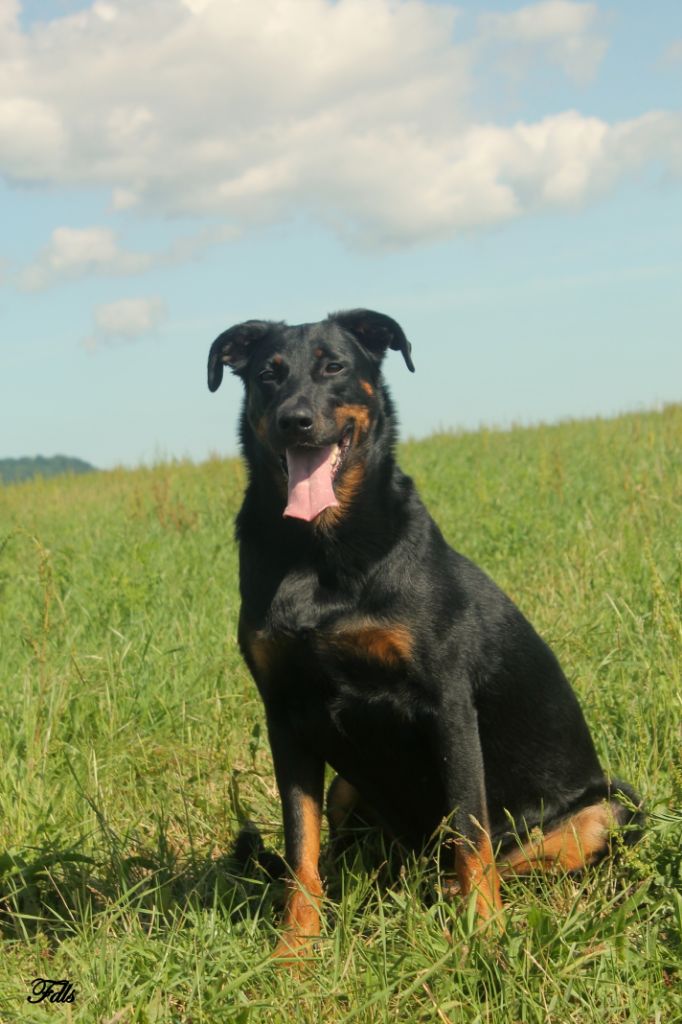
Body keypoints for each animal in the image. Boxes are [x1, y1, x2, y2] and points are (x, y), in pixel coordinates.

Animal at [204, 307, 638, 954]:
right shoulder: (286, 715)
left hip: (612, 807)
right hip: (348, 786)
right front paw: (295, 950)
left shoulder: (447, 704)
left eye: (334, 366)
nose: (294, 421)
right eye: (267, 375)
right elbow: (301, 846)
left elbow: (469, 831)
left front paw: (486, 935)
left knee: (499, 855)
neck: (319, 548)